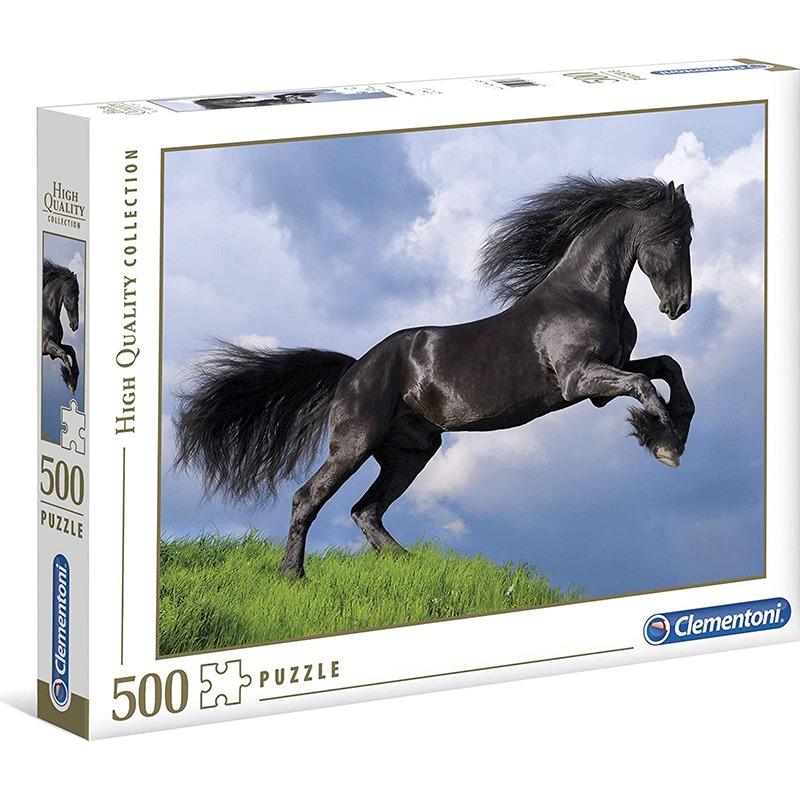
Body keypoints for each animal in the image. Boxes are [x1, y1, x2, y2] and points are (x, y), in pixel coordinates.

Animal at [42, 258, 80, 393]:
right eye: (72, 295)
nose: (75, 325)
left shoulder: (57, 344)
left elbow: (71, 351)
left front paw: (73, 381)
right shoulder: (46, 345)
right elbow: (64, 354)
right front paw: (71, 384)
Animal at [174, 175, 696, 578]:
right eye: (677, 238)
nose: (679, 305)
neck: (584, 294)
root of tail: (352, 370)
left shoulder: (607, 376)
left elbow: (668, 369)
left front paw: (670, 433)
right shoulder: (579, 380)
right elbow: (647, 386)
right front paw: (664, 443)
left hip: (410, 452)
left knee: (366, 511)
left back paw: (410, 565)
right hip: (355, 442)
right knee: (309, 498)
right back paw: (292, 576)